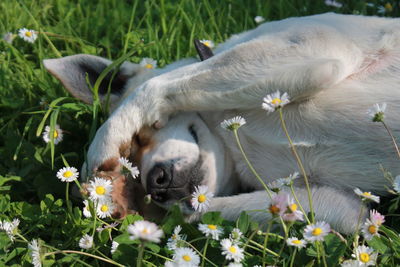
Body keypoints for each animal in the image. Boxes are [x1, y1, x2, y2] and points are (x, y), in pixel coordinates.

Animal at [42, 13, 398, 234]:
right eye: (139, 186)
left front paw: (102, 146)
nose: (155, 185)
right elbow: (212, 211)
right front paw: (116, 198)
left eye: (141, 137)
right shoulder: (347, 208)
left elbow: (155, 86)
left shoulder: (317, 49)